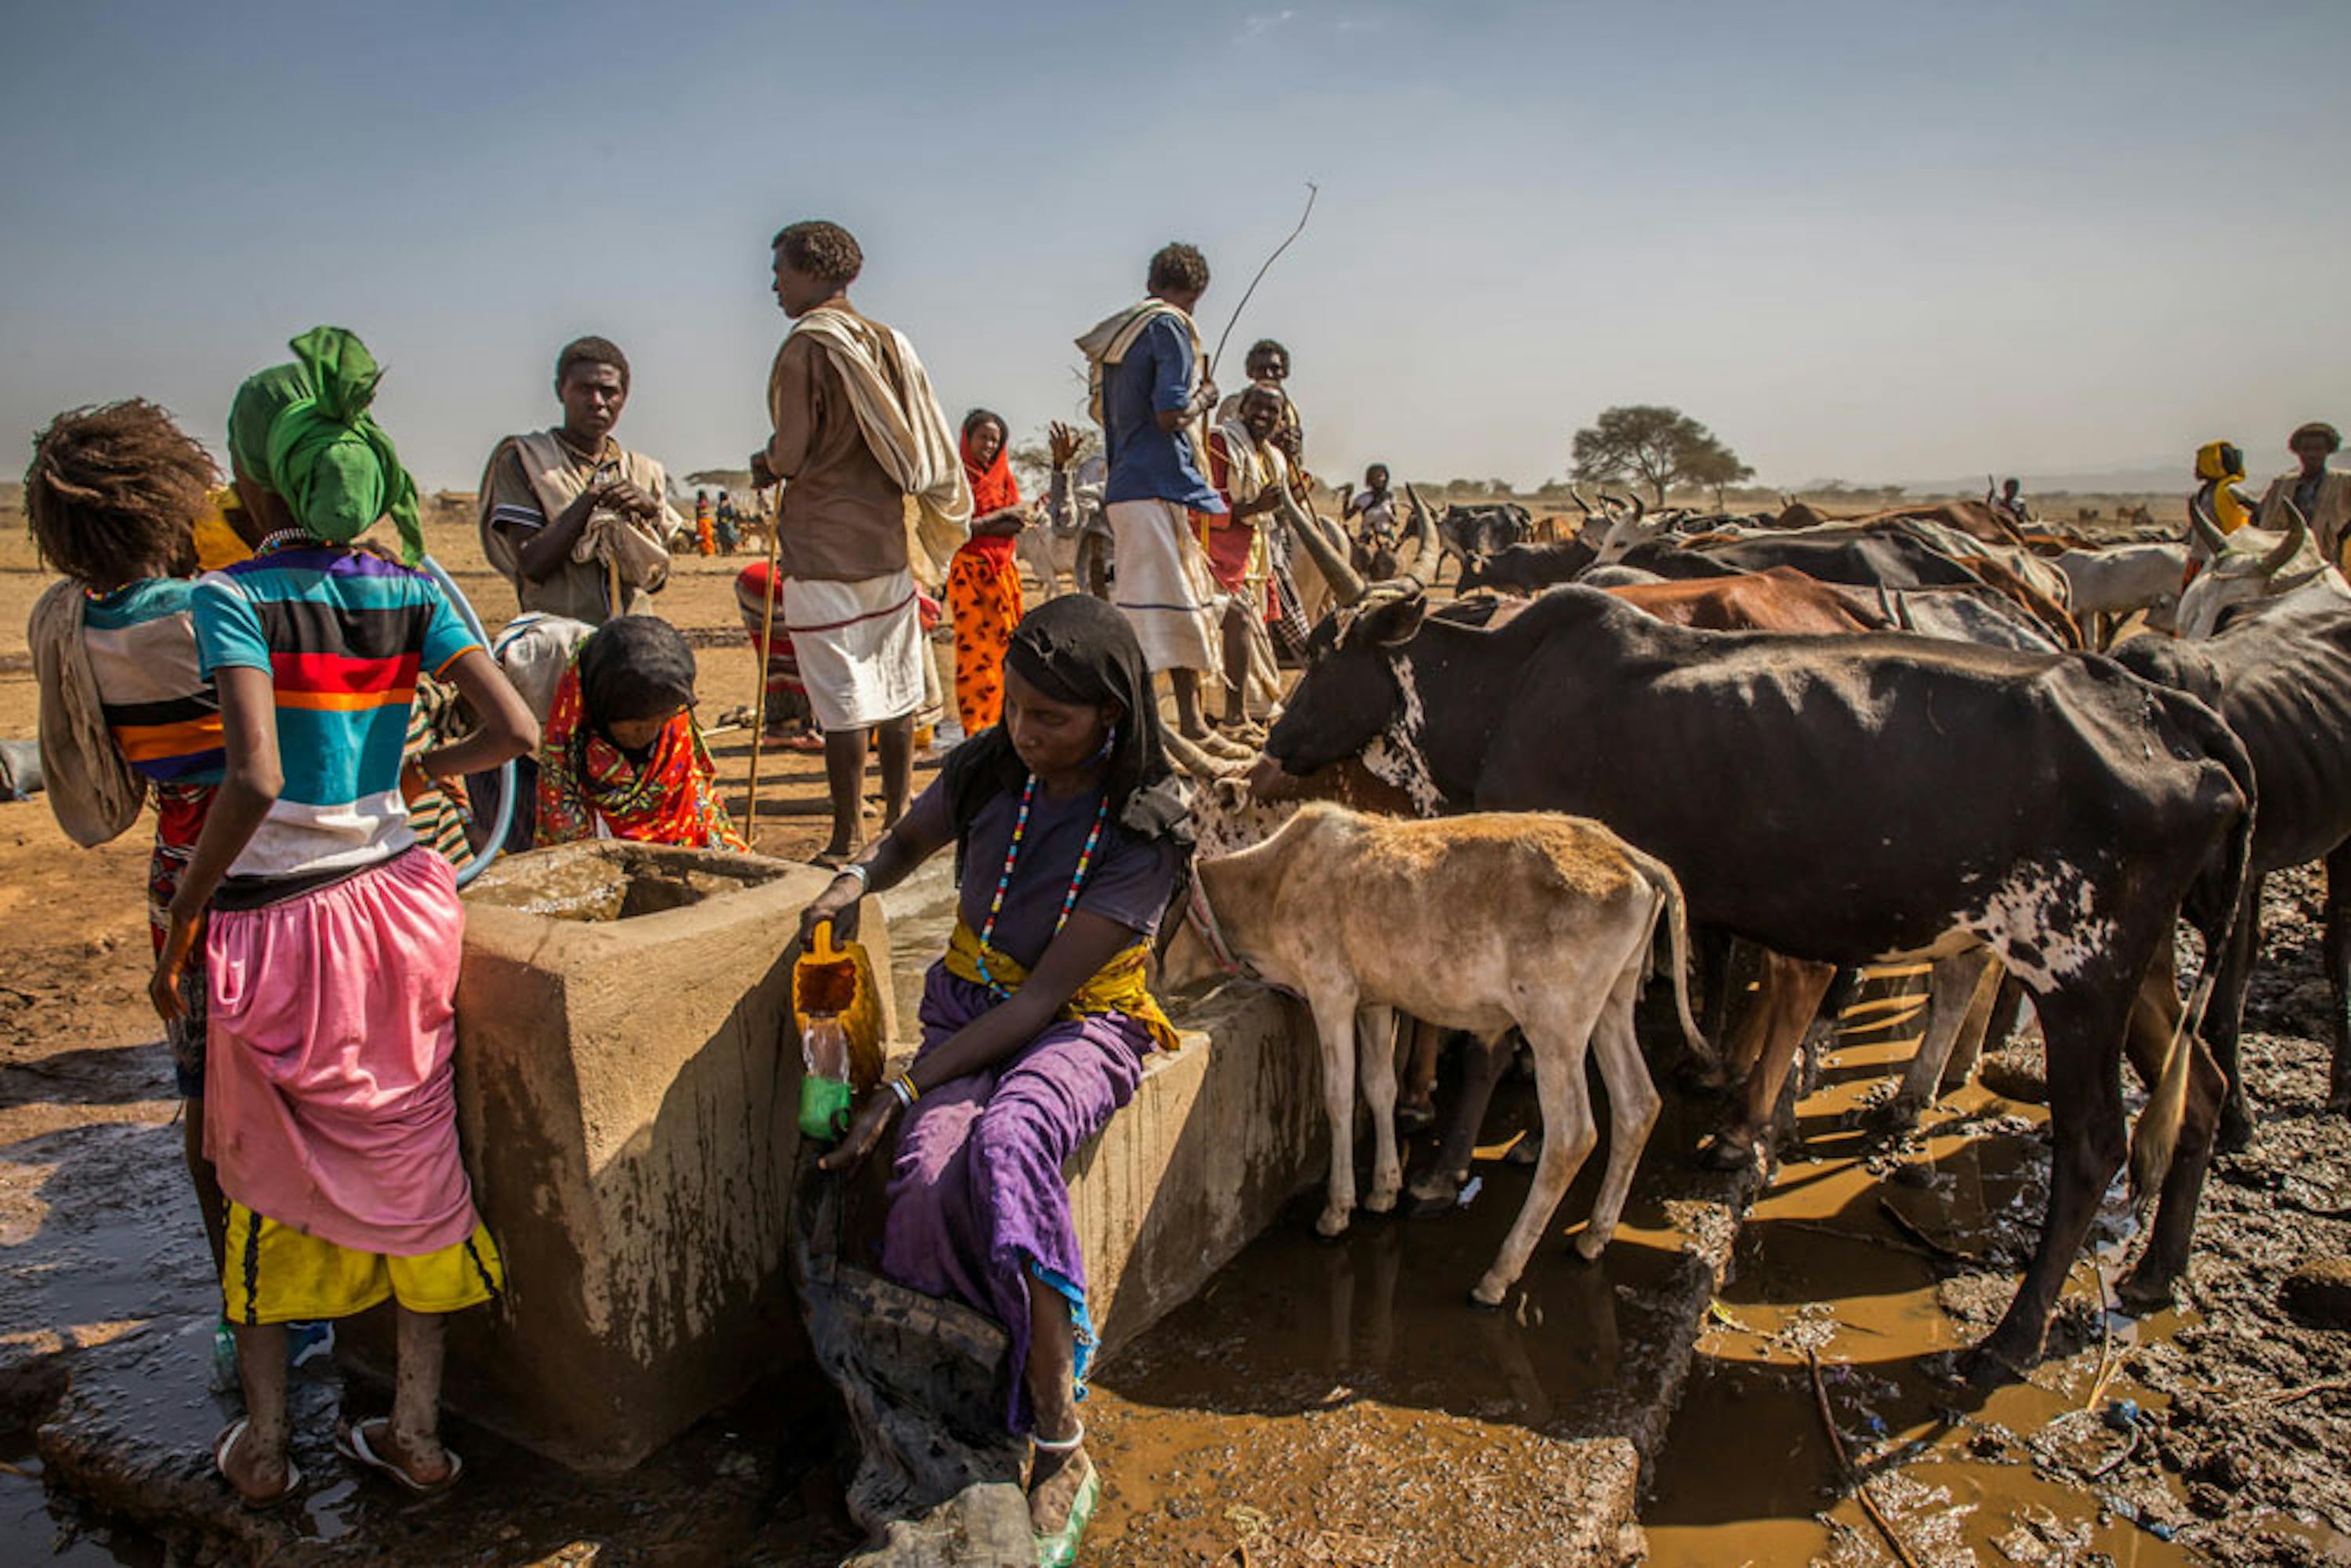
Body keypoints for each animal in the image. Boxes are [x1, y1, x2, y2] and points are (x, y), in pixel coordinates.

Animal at [1161, 804, 1702, 1307]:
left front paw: (1336, 1211)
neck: (1272, 882)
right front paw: (1383, 1189)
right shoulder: (1375, 999)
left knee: (1572, 1135)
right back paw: (1593, 1236)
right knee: (1638, 1104)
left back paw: (1497, 1276)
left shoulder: (1331, 989)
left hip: (1556, 1022)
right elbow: (1379, 1086)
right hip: (1613, 1000)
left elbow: (1339, 1097)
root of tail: (1630, 856)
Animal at [1270, 585, 2257, 1373]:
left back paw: (2009, 1341)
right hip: (2141, 967)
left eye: (1321, 654)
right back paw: (2156, 1270)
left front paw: (1441, 1177)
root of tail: (2160, 710)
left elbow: (1485, 1051)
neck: (1502, 690)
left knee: (2094, 1144)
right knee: (2200, 1087)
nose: (1275, 739)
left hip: (2079, 974)